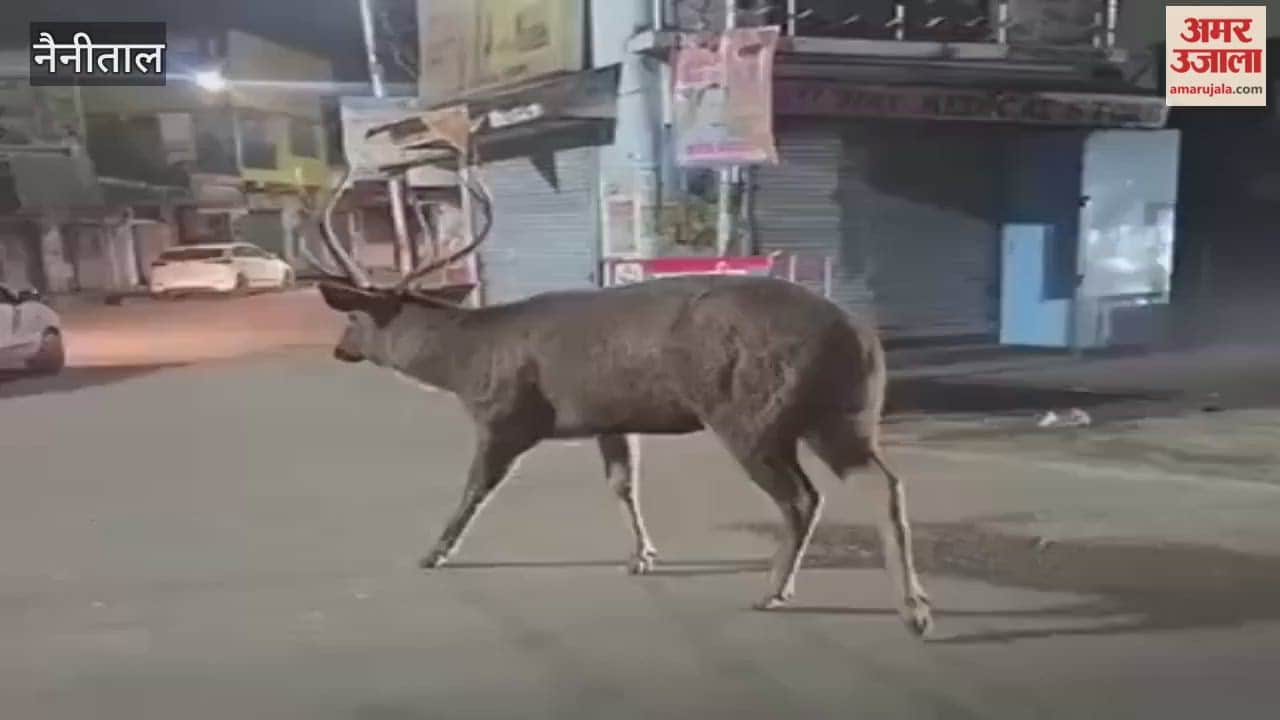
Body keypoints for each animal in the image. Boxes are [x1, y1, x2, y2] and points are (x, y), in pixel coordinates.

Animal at [302, 144, 933, 639]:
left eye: (353, 317)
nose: (339, 349)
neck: (465, 361)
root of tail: (857, 334)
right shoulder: (608, 418)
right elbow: (623, 483)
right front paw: (642, 556)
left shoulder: (505, 413)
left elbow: (474, 488)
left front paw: (434, 552)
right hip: (844, 410)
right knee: (884, 483)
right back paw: (915, 608)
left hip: (751, 411)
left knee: (802, 497)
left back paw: (776, 590)